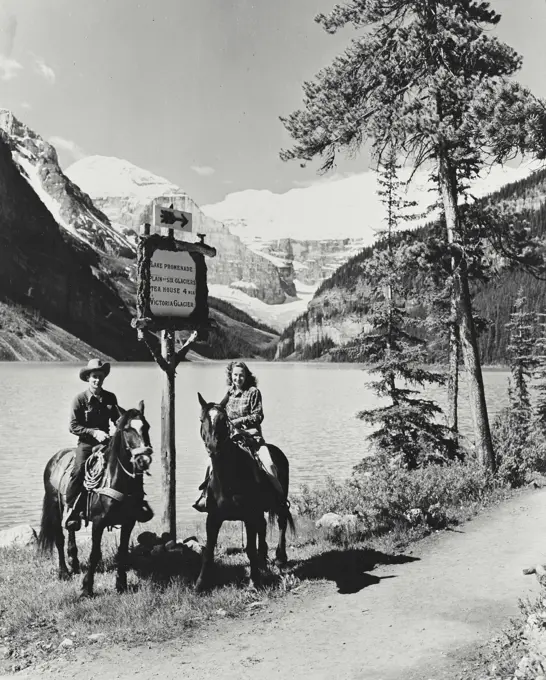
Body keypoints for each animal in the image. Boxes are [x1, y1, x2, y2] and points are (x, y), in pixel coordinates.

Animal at [38, 402, 152, 596]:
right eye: (127, 429)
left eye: (147, 427)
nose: (143, 460)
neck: (116, 480)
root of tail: (55, 458)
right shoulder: (98, 522)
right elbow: (94, 554)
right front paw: (87, 588)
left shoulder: (129, 522)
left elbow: (122, 551)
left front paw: (121, 585)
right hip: (54, 506)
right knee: (59, 539)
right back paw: (64, 572)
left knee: (71, 528)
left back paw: (74, 563)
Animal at [194, 390, 294, 592]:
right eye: (202, 419)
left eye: (224, 420)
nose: (213, 446)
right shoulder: (213, 517)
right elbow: (208, 551)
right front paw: (200, 585)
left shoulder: (249, 515)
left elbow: (249, 548)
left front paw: (254, 581)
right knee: (263, 526)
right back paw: (264, 560)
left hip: (279, 503)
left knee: (281, 522)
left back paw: (280, 558)